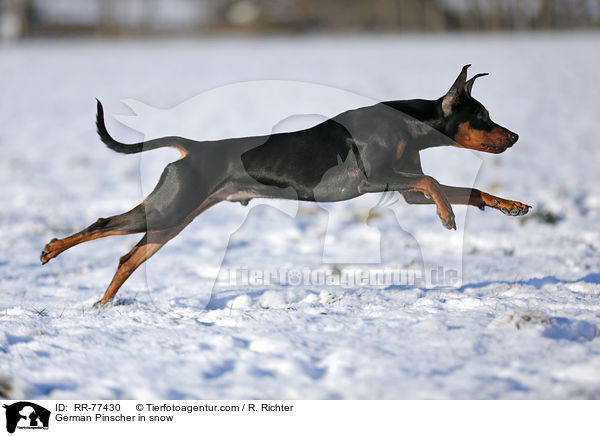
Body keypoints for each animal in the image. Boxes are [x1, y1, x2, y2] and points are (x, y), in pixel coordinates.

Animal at [41, 64, 528, 304]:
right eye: (481, 116)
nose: (515, 136)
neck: (409, 124)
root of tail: (191, 148)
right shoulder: (379, 178)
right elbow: (436, 181)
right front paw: (447, 217)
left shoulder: (407, 192)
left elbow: (459, 189)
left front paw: (509, 205)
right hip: (168, 210)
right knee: (103, 225)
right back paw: (51, 251)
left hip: (170, 222)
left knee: (127, 258)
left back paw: (102, 306)